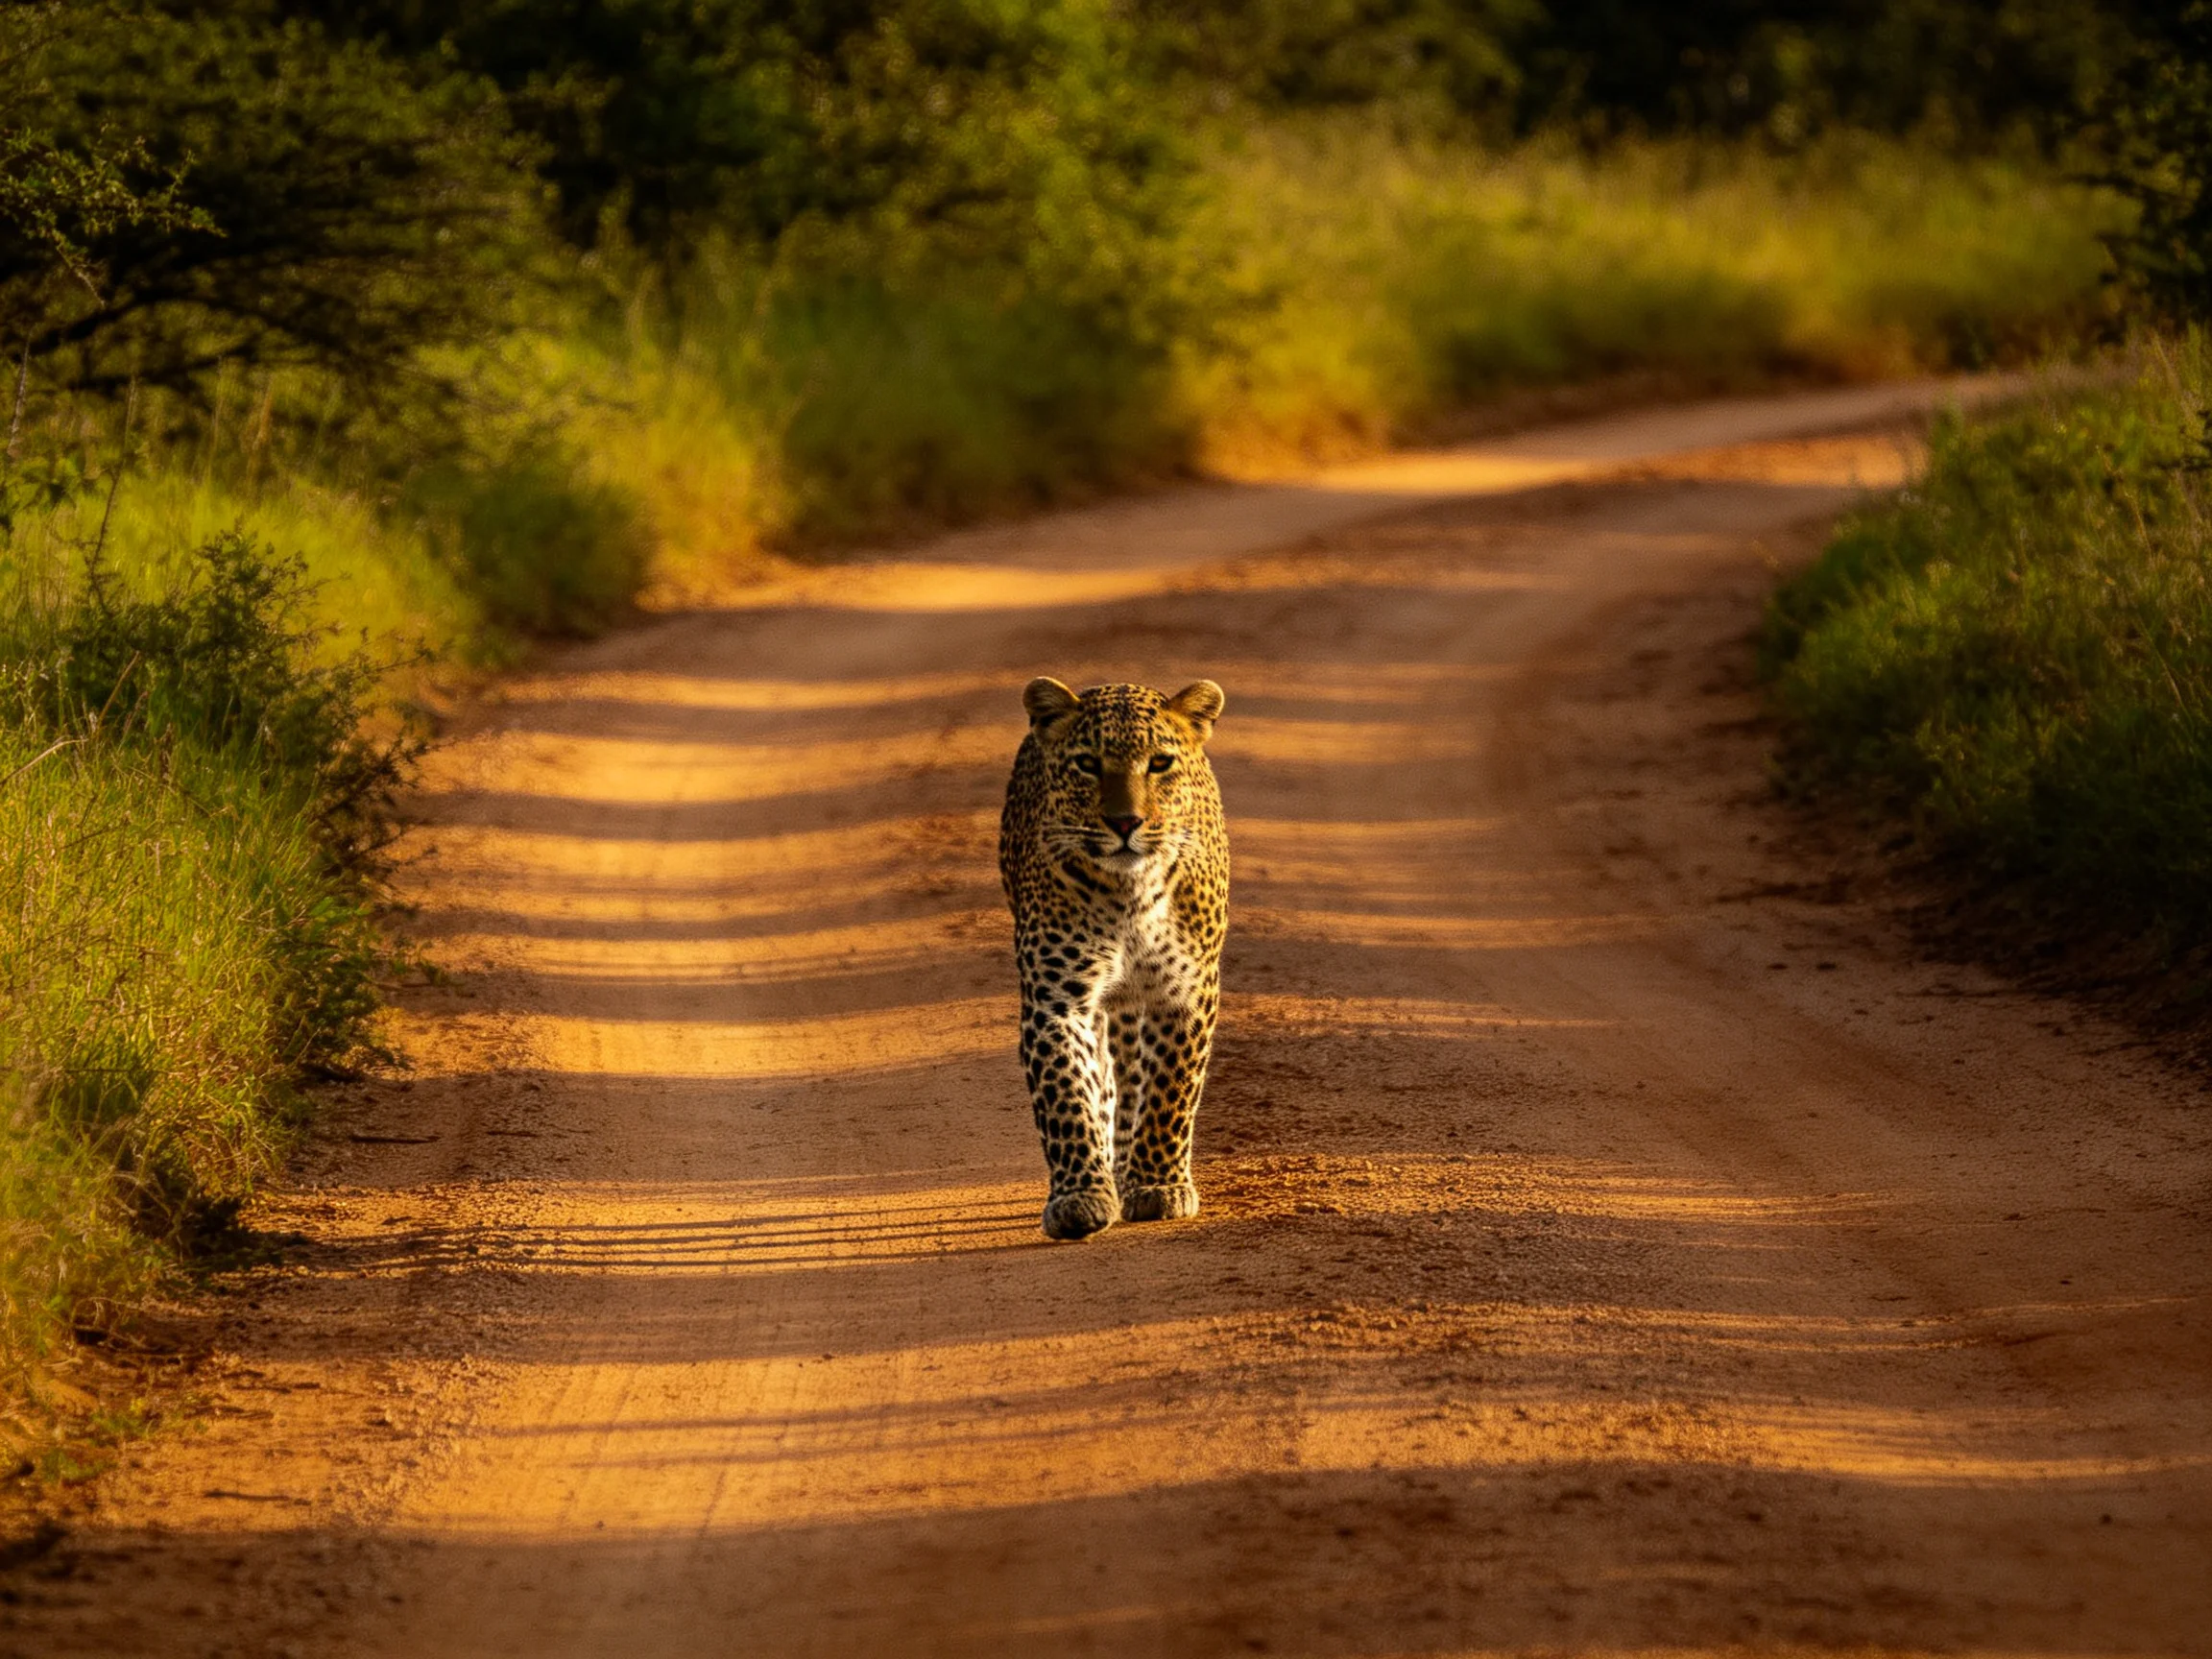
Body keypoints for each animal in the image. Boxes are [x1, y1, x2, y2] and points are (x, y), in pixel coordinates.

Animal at [999, 676, 1230, 1240]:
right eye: (1087, 763)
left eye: (1160, 763)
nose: (1125, 821)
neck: (1130, 895)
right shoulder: (1057, 1000)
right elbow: (1066, 1093)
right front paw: (1080, 1195)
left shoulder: (1185, 992)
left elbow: (1170, 1088)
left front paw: (1158, 1184)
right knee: (1105, 1076)